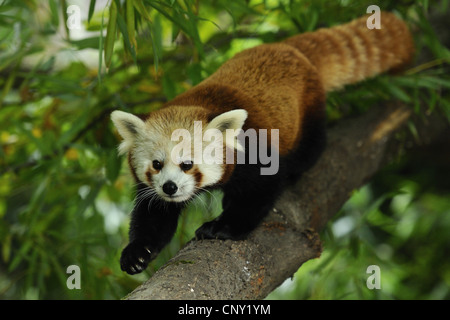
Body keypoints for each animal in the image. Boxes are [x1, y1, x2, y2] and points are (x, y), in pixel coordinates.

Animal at [111, 11, 412, 274]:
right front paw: (137, 253)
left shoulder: (255, 150)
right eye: (157, 164)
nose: (170, 187)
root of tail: (287, 47)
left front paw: (222, 228)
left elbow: (259, 192)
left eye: (187, 164)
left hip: (307, 113)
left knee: (311, 148)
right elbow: (154, 215)